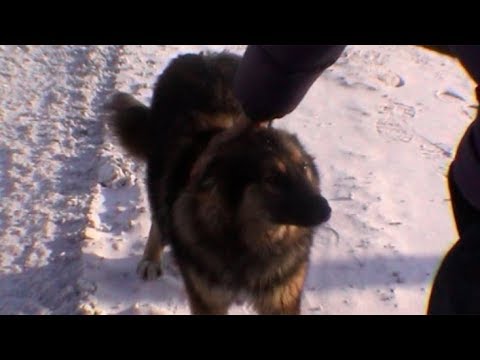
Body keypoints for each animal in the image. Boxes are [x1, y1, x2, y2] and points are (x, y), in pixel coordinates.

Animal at [106, 51, 330, 316]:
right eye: (272, 178)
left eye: (304, 168)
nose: (326, 211)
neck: (252, 241)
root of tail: (203, 57)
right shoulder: (208, 298)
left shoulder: (282, 295)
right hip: (160, 168)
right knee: (159, 212)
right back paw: (151, 258)